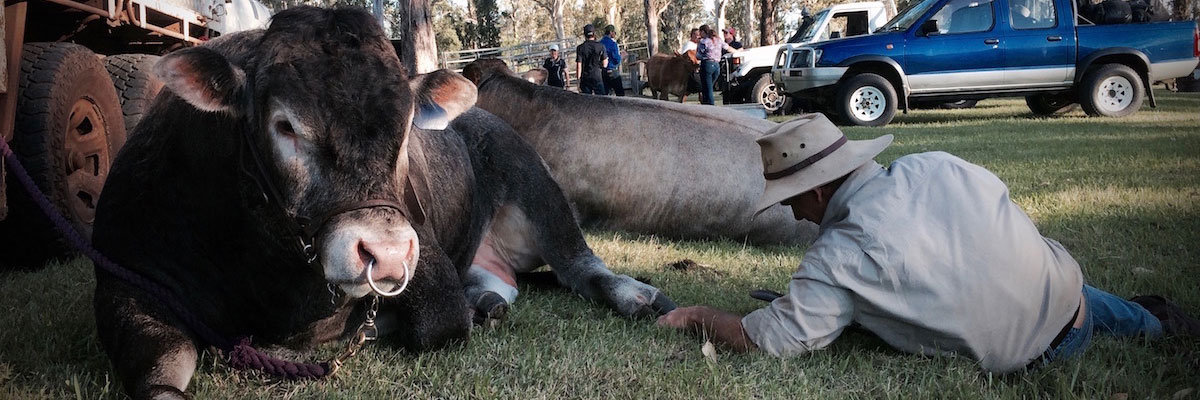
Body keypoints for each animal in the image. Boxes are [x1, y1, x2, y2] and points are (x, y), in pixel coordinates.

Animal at [91, 7, 676, 396]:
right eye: (284, 125)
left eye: (407, 126)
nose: (387, 254)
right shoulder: (125, 279)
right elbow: (158, 370)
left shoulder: (429, 265)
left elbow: (433, 325)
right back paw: (488, 300)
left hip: (533, 180)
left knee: (579, 265)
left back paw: (632, 295)